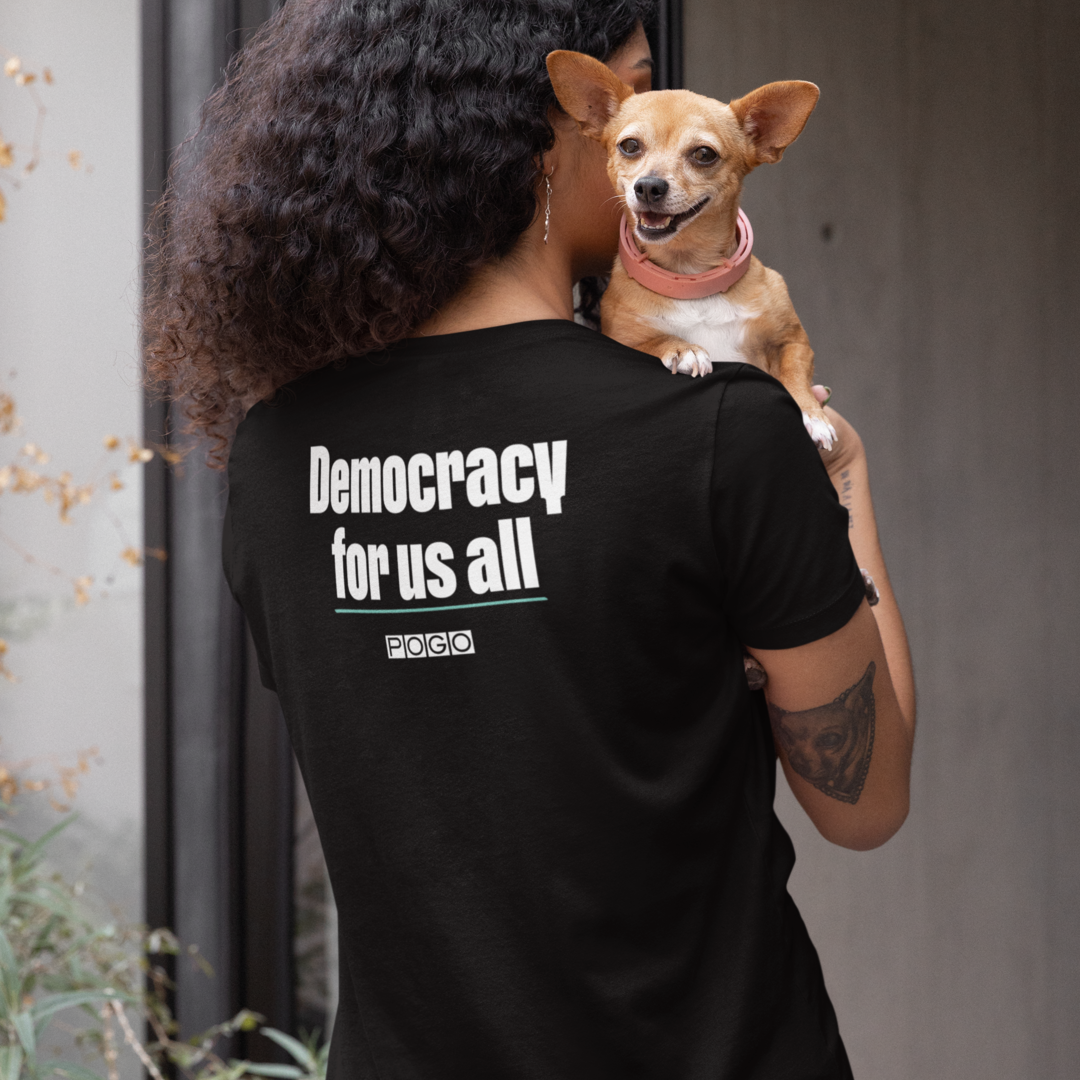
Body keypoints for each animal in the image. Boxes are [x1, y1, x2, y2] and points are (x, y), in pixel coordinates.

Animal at [548, 49, 833, 447]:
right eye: (629, 146)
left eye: (704, 154)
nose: (648, 186)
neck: (691, 278)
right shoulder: (619, 337)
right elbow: (653, 339)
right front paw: (684, 348)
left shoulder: (792, 341)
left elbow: (794, 375)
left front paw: (813, 415)